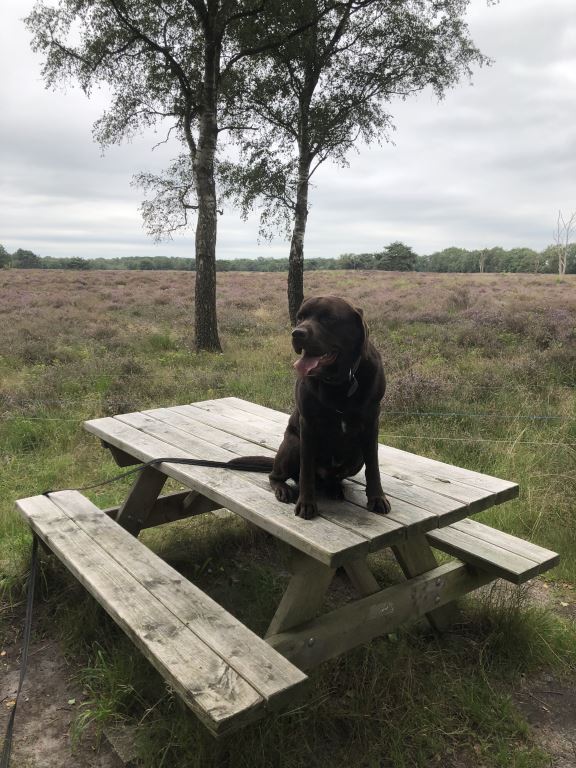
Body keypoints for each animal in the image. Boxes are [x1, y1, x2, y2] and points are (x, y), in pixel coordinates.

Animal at [270, 296, 392, 520]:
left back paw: (334, 489)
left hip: (356, 457)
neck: (339, 381)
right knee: (276, 475)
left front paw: (377, 498)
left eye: (329, 318)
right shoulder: (308, 425)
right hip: (293, 443)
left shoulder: (372, 423)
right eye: (300, 317)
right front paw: (306, 504)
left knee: (335, 477)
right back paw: (283, 489)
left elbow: (374, 465)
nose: (297, 333)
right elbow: (306, 470)